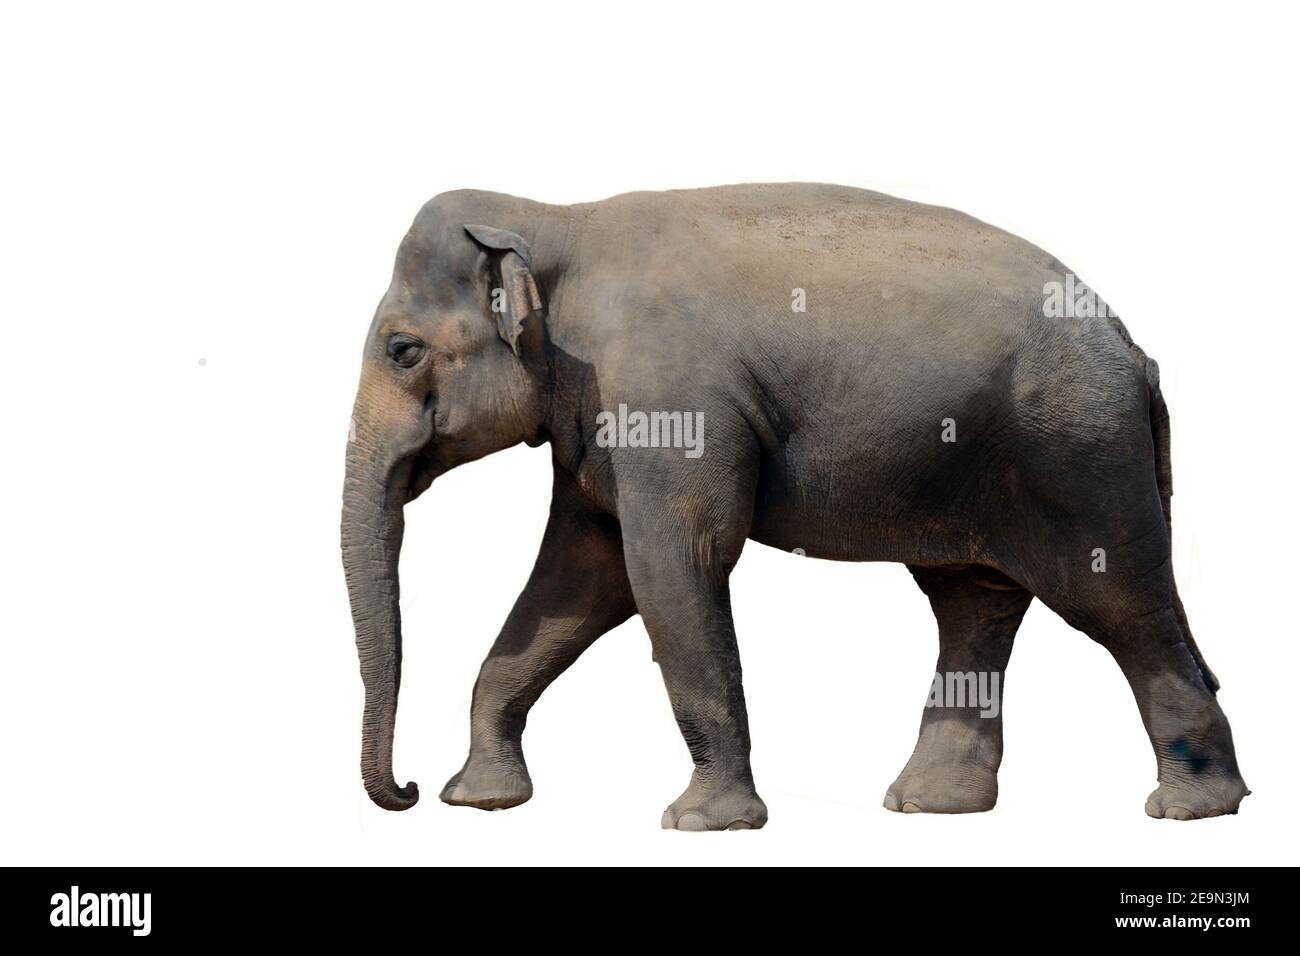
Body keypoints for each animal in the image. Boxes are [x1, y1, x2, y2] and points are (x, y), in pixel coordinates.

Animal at [342, 183, 1248, 830]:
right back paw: (929, 807)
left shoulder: (670, 404)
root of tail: (1134, 346)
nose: (409, 790)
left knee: (1120, 603)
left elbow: (670, 564)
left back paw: (1190, 809)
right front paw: (481, 801)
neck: (555, 217)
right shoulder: (596, 416)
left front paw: (703, 823)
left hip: (1079, 454)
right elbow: (582, 577)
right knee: (972, 604)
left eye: (402, 350)